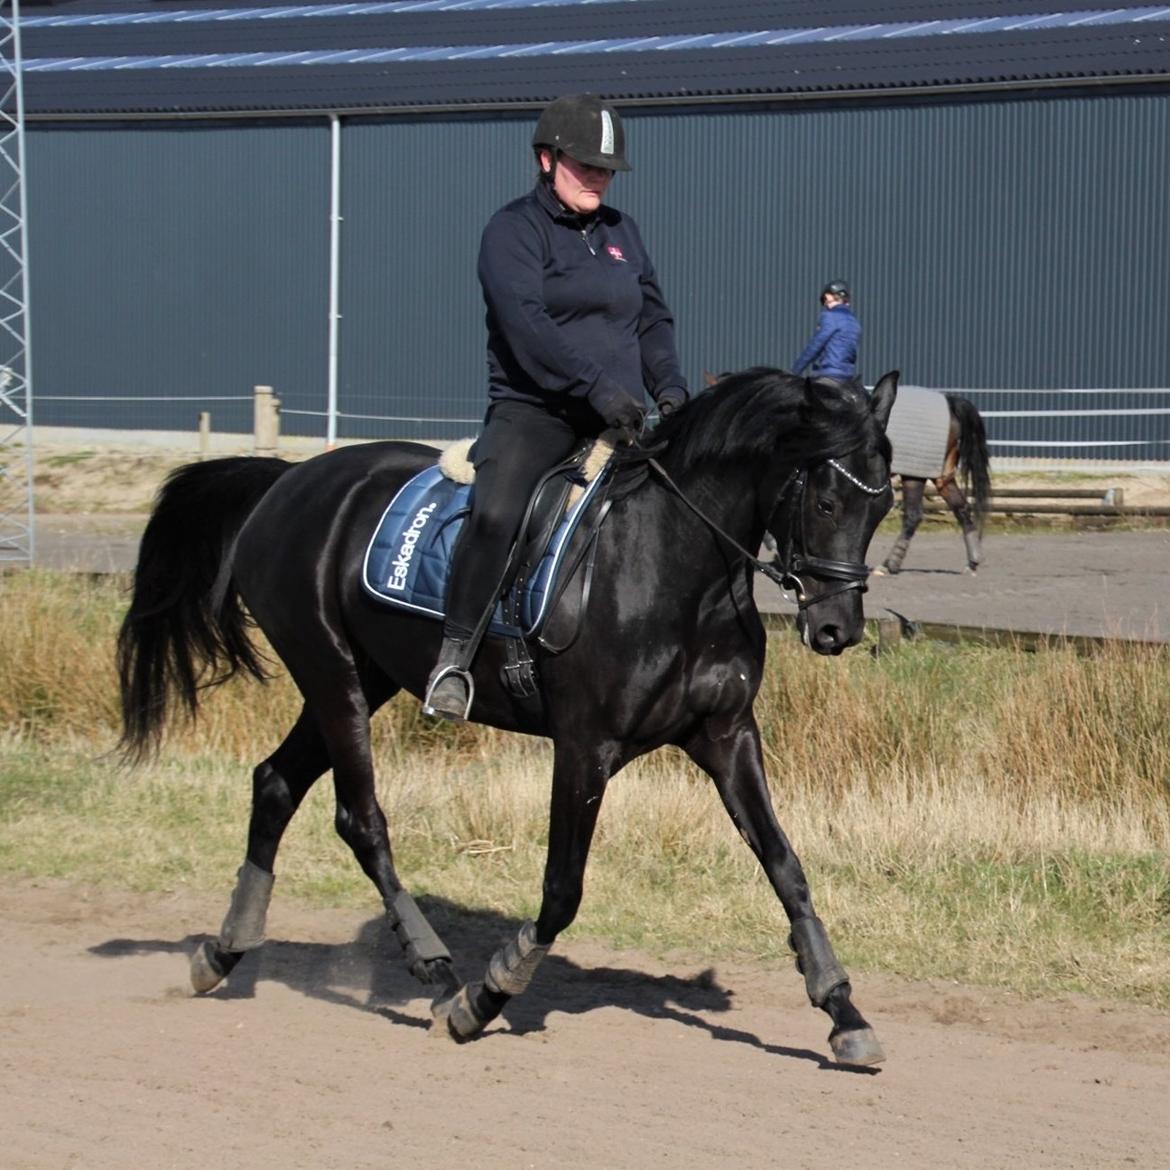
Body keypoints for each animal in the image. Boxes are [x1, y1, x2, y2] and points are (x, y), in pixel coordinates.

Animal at [118, 367, 893, 1071]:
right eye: (827, 502)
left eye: (881, 509)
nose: (837, 630)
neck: (675, 563)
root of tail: (288, 481)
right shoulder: (585, 748)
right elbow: (562, 891)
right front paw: (485, 997)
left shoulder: (727, 736)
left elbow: (786, 866)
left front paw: (843, 1012)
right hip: (332, 674)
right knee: (360, 820)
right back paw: (435, 972)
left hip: (362, 679)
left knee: (276, 782)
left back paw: (223, 951)